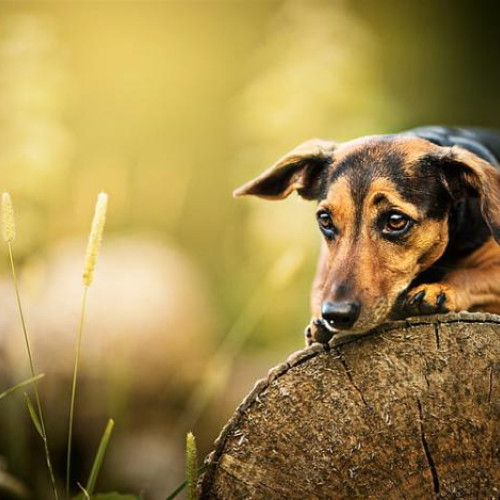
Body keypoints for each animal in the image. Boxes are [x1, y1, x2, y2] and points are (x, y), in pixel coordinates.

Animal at [234, 126, 500, 344]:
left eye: (395, 220)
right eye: (325, 219)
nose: (336, 315)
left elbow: (471, 275)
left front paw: (440, 289)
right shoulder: (324, 272)